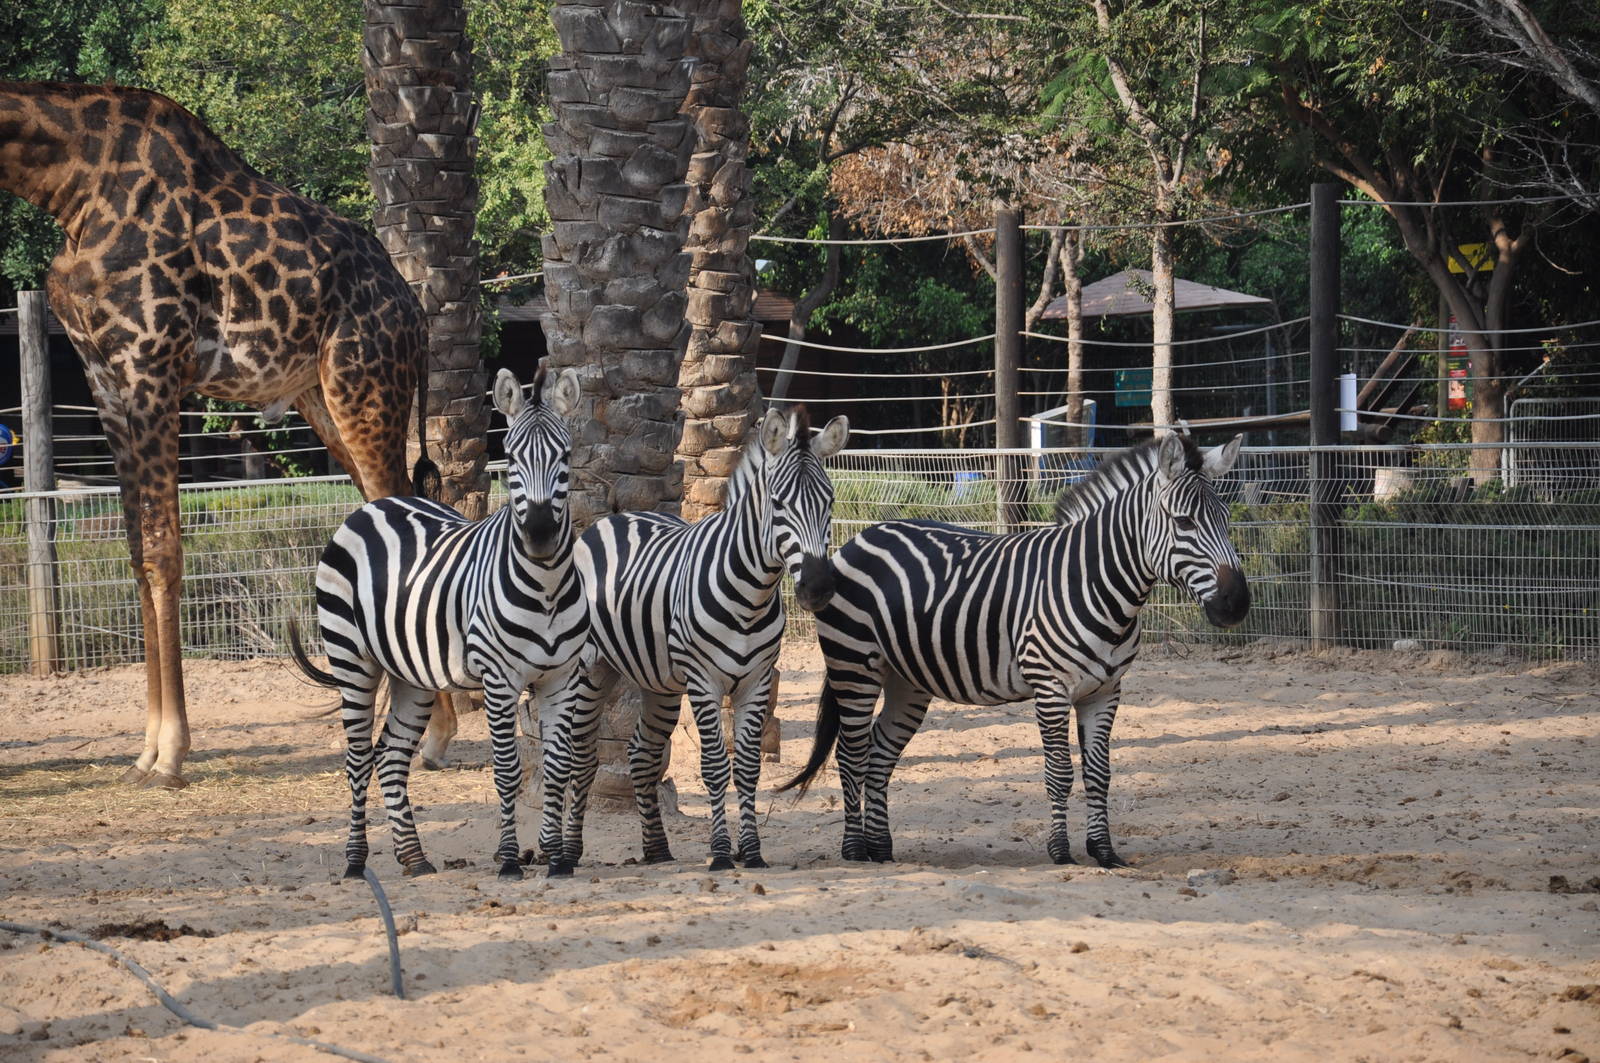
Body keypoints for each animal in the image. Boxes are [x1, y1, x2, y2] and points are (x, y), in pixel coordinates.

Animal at [288, 363, 585, 881]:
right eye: (511, 459)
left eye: (564, 456)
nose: (540, 534)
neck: (546, 586)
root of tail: (376, 504)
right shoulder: (499, 680)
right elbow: (507, 770)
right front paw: (510, 859)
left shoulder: (561, 678)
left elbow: (557, 767)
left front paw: (556, 859)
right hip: (353, 661)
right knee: (357, 760)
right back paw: (355, 862)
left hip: (412, 675)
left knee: (389, 757)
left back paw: (414, 858)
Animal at [538, 405, 850, 875]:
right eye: (778, 504)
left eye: (829, 501)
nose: (817, 588)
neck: (752, 594)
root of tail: (613, 517)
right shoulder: (705, 682)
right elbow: (716, 765)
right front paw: (721, 852)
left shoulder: (757, 682)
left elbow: (749, 769)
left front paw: (752, 852)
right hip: (592, 670)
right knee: (582, 754)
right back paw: (567, 851)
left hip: (660, 681)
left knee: (642, 753)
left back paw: (656, 848)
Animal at [779, 431, 1250, 869]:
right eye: (1184, 522)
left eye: (1226, 519)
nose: (1237, 604)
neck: (1095, 582)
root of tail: (864, 534)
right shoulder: (1051, 687)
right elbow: (1059, 772)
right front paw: (1061, 852)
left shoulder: (1105, 691)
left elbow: (1100, 773)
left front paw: (1104, 852)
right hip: (853, 665)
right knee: (851, 753)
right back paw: (855, 850)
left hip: (906, 679)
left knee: (879, 752)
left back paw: (882, 849)